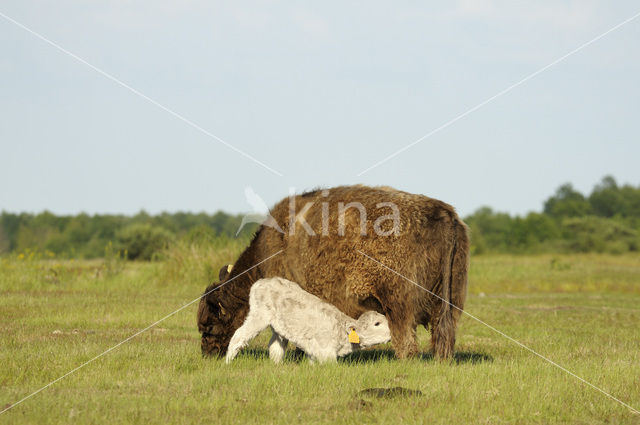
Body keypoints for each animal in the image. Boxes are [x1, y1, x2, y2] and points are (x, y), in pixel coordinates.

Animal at [196, 185, 470, 358]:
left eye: (209, 326)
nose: (207, 353)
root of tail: (445, 214)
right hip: (449, 304)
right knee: (443, 337)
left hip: (398, 305)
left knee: (405, 341)